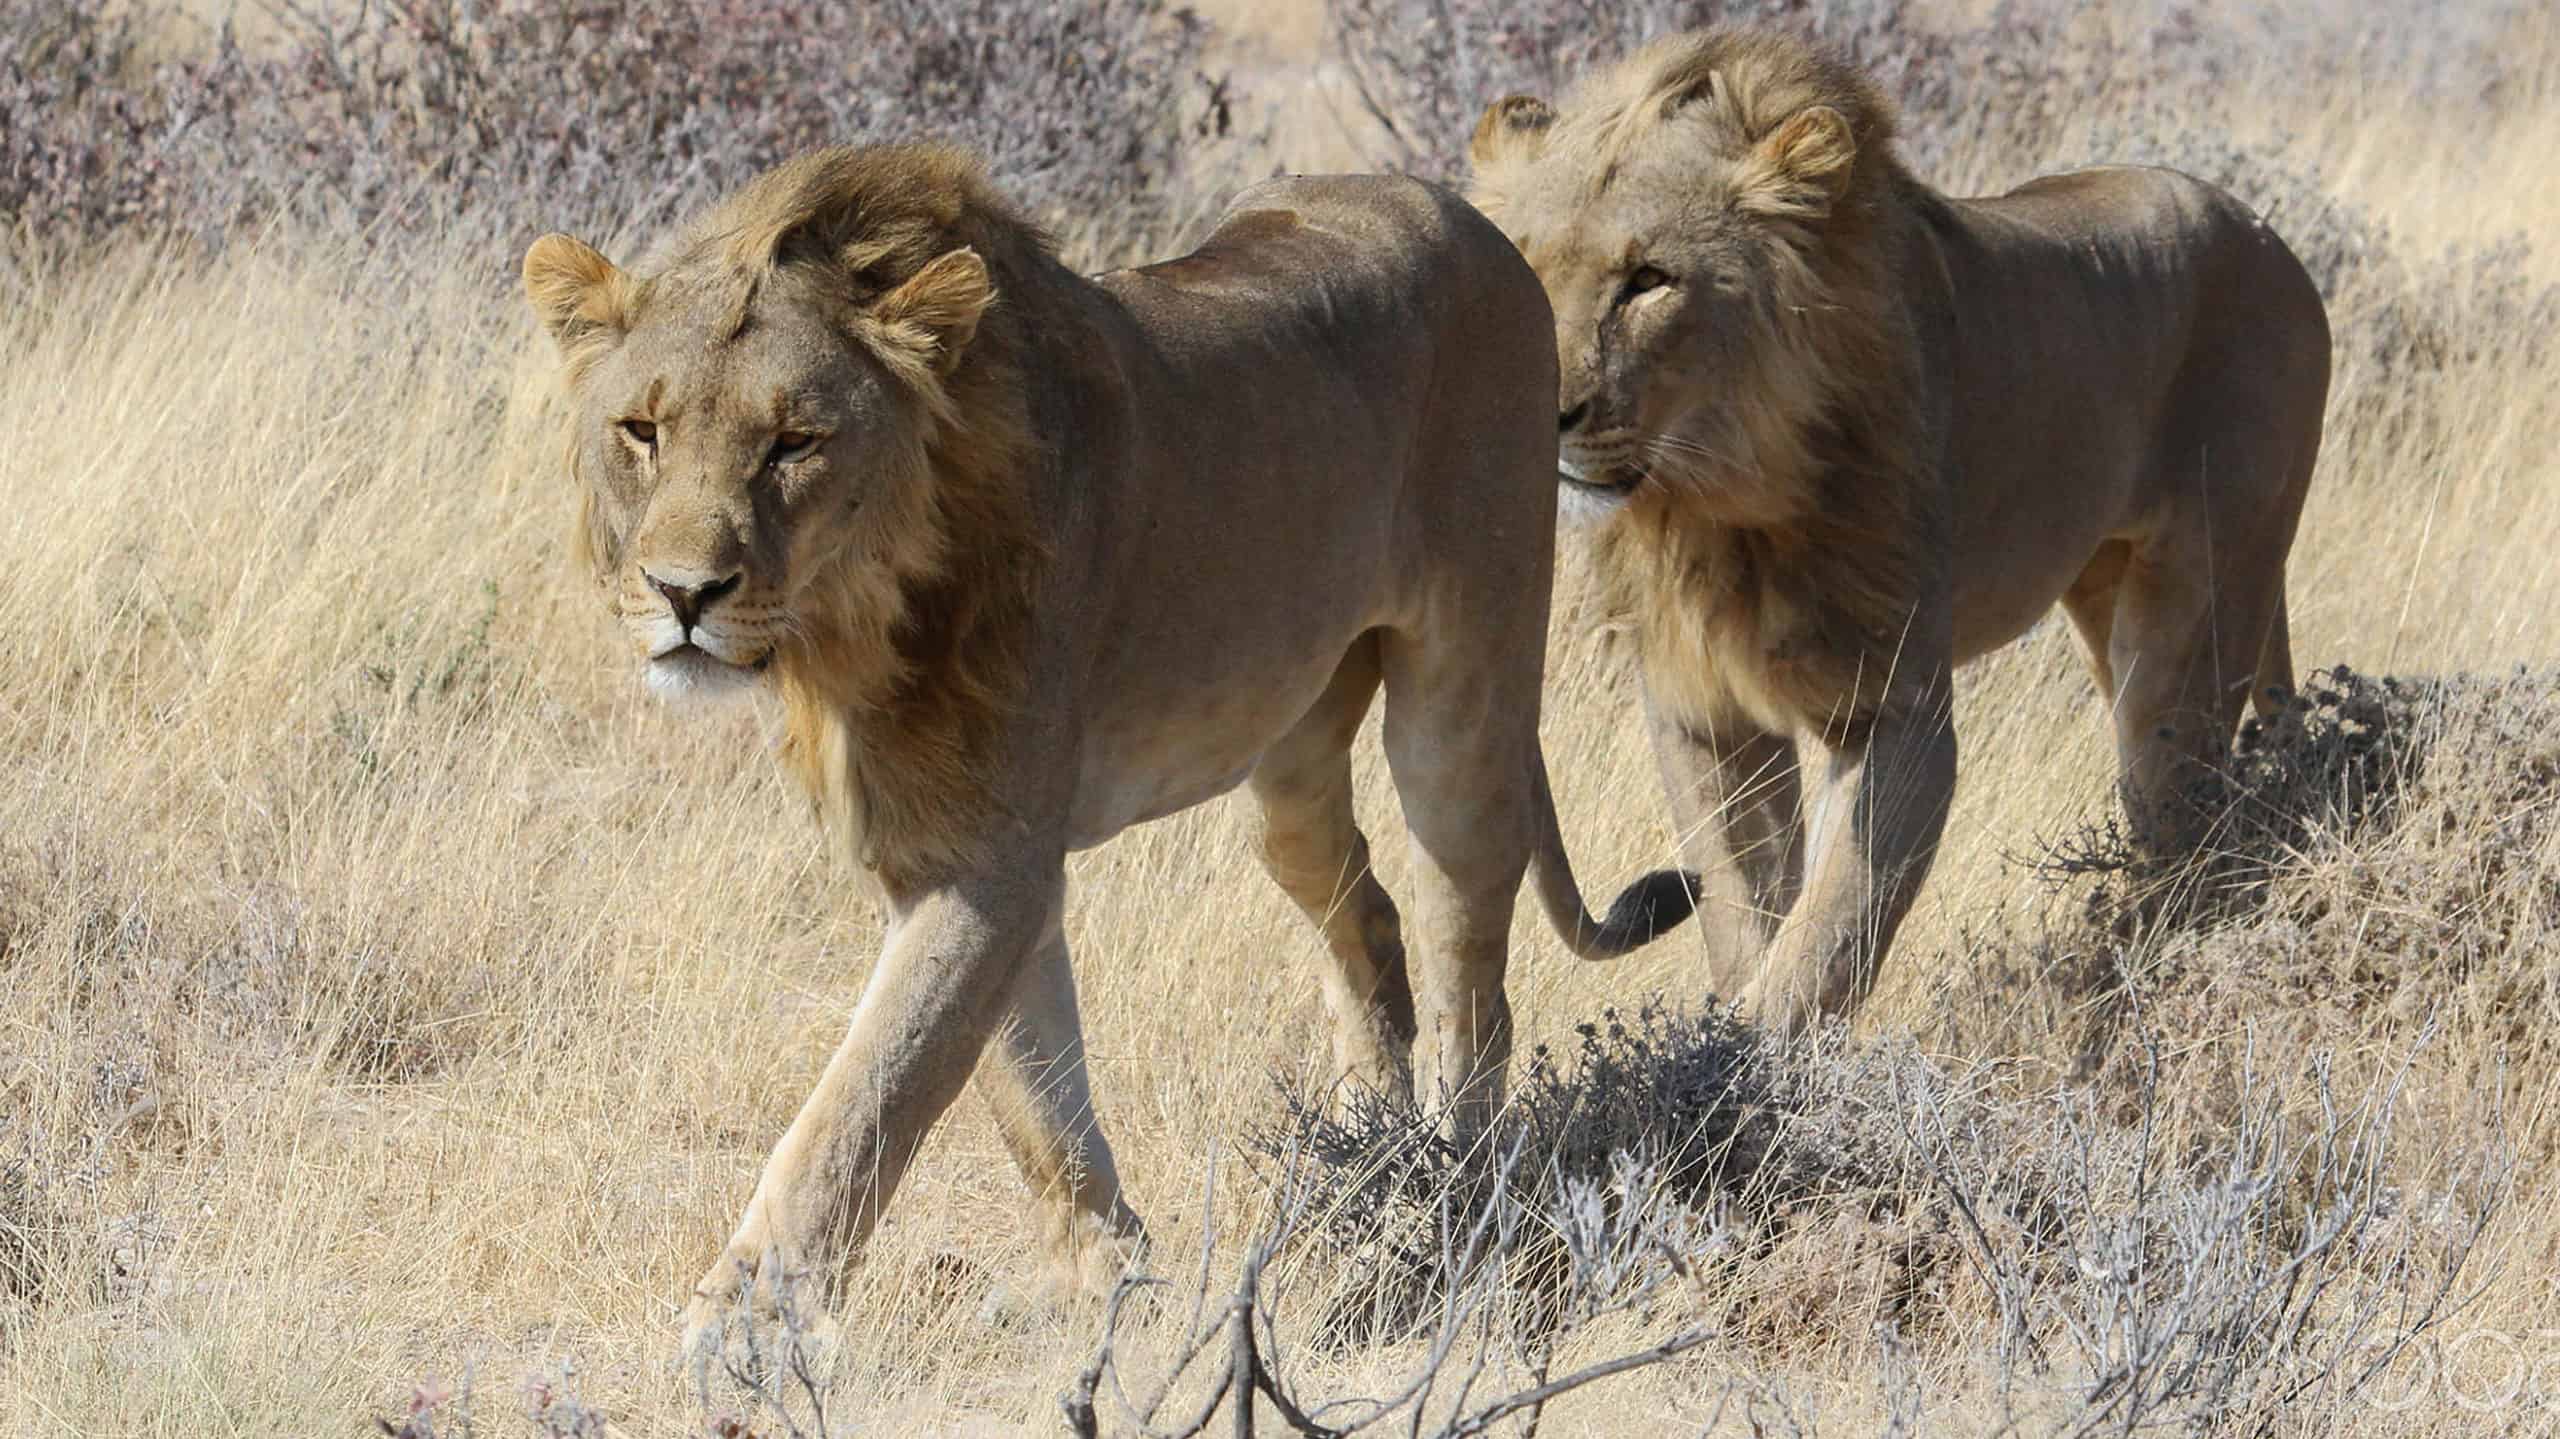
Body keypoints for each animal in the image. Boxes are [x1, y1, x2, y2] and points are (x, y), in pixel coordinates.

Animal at [519, 145, 1699, 1341]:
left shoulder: (990, 859)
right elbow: (1032, 1089)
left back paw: (1454, 1192)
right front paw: (1109, 1278)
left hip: (1463, 695)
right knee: (1362, 908)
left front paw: (744, 1324)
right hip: (1288, 759)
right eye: (642, 432)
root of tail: (1462, 213)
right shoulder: (945, 852)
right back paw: (1371, 1152)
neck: (855, 620)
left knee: (1471, 962)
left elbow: (870, 1097)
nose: (682, 592)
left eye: (794, 443)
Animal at [1474, 28, 2334, 1024]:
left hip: (2196, 616)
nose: (1540, 414)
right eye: (1522, 274)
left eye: (1648, 281)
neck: (1714, 504)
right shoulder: (1702, 714)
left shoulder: (1897, 708)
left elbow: (1824, 938)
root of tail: (2269, 235)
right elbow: (1747, 914)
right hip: (2102, 589)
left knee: (2182, 816)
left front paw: (1737, 1056)